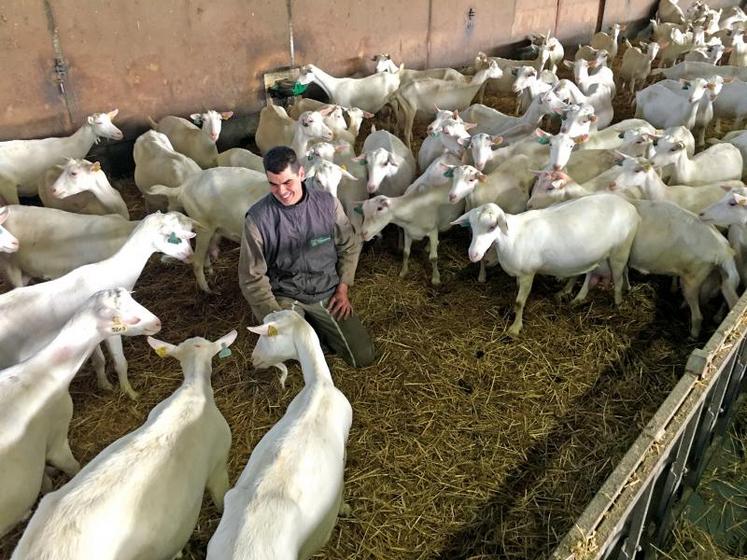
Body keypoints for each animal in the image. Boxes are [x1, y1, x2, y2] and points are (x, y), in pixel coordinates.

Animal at [0, 288, 161, 540]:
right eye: (131, 318)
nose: (157, 323)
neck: (44, 370)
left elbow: (43, 478)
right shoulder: (56, 439)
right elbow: (73, 468)